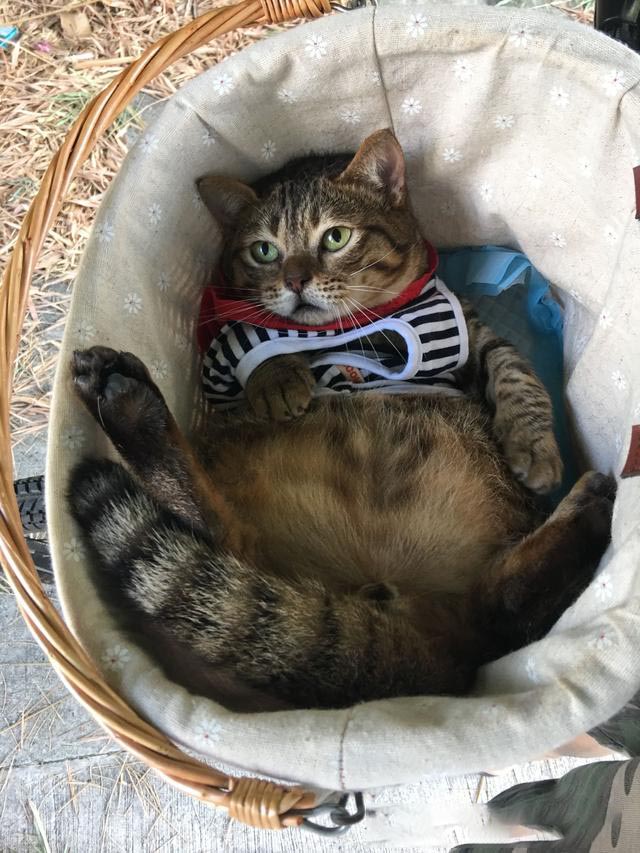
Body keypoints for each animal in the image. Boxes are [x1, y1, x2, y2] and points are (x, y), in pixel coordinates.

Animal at [68, 129, 615, 710]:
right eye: (264, 250)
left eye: (335, 238)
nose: (295, 281)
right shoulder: (225, 359)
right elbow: (260, 343)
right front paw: (278, 378)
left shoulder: (472, 334)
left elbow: (516, 371)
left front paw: (533, 444)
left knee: (500, 610)